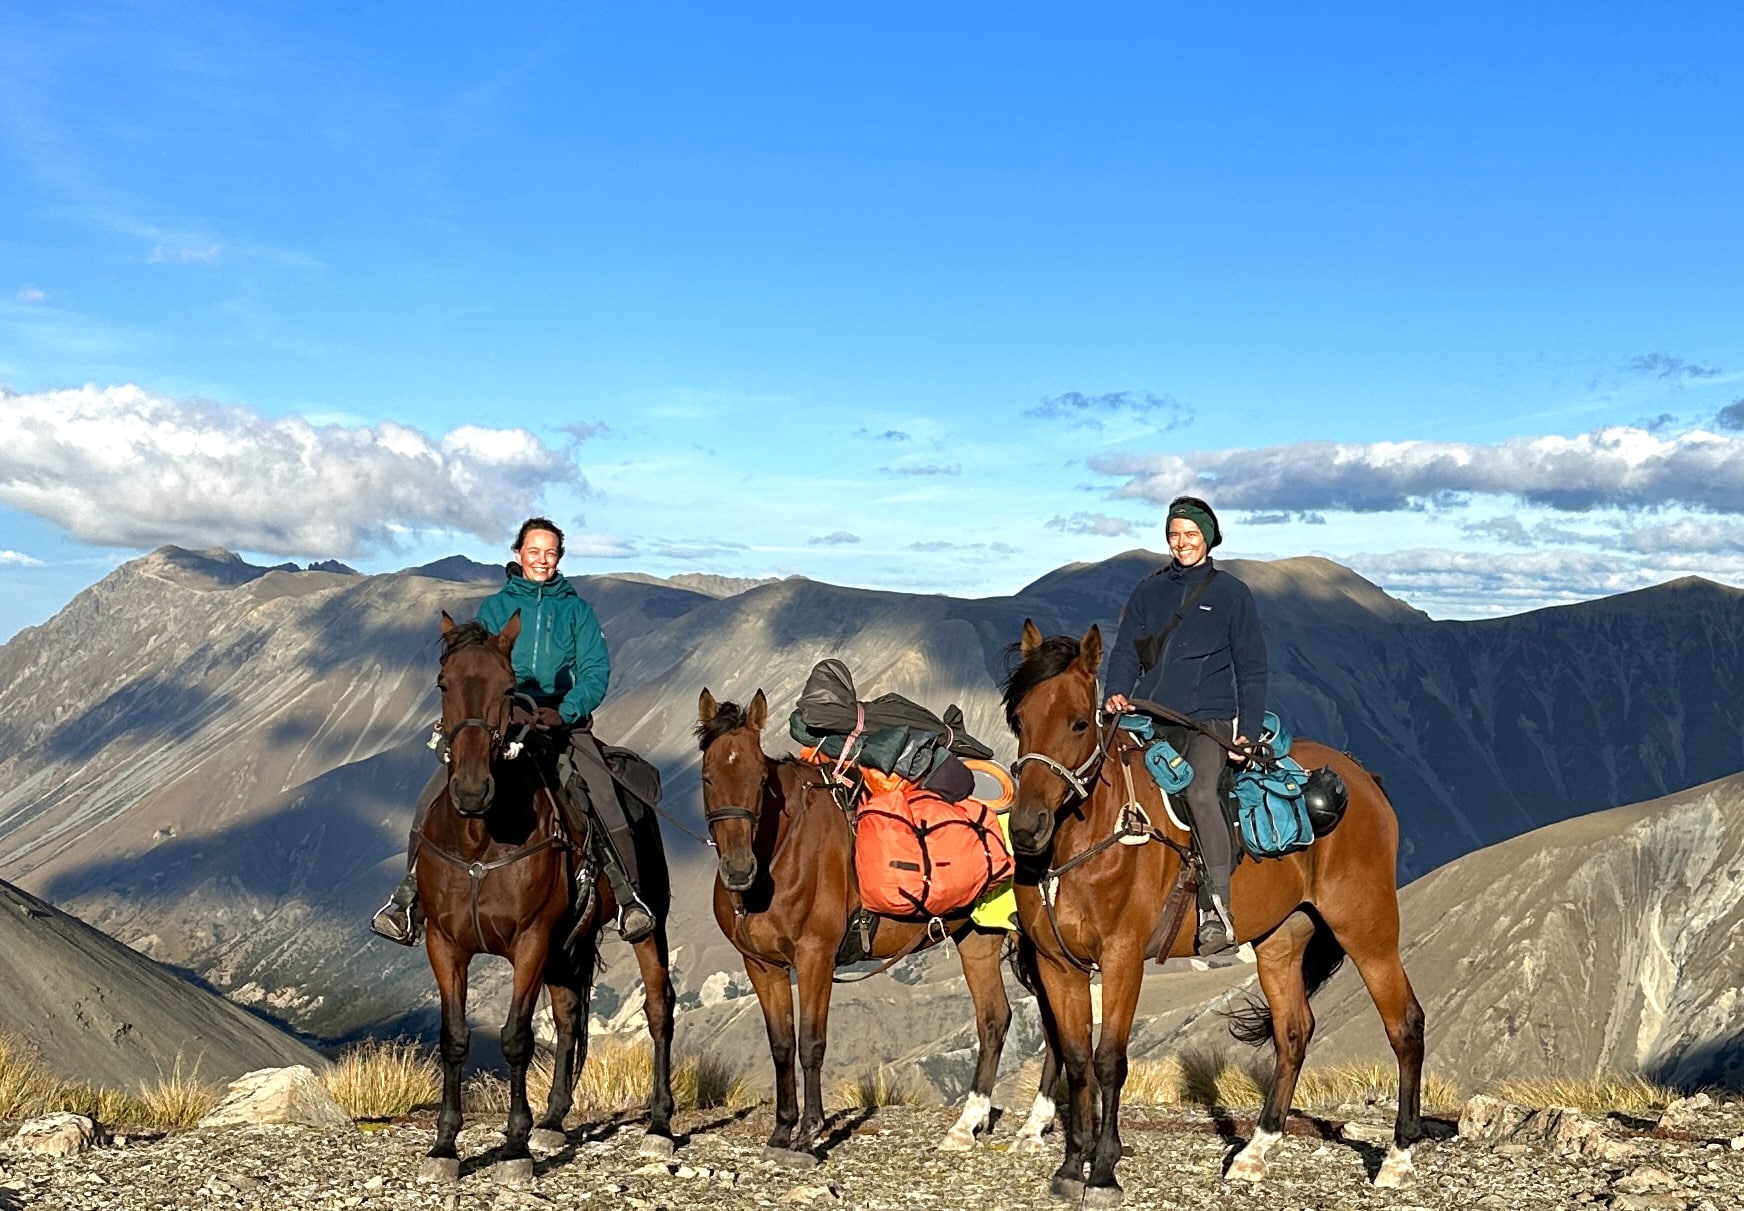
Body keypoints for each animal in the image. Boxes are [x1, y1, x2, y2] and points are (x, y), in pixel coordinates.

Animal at [411, 610, 676, 1193]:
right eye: (443, 684)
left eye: (509, 688)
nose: (471, 790)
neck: (482, 840)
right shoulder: (445, 945)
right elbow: (454, 1037)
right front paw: (444, 1146)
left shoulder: (530, 942)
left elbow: (515, 1038)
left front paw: (514, 1148)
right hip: (565, 947)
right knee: (570, 1015)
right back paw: (554, 1122)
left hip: (647, 927)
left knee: (658, 1009)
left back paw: (660, 1125)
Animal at [697, 697, 1060, 1172]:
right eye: (707, 776)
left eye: (760, 778)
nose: (739, 869)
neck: (784, 856)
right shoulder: (762, 966)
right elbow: (780, 1045)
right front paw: (780, 1132)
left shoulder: (815, 959)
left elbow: (810, 1044)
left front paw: (808, 1135)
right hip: (978, 939)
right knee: (994, 1020)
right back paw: (966, 1126)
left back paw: (1034, 1127)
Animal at [1004, 621, 1423, 1207]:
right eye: (1019, 719)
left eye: (1080, 722)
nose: (1028, 828)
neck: (1090, 841)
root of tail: (1362, 780)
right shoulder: (1057, 964)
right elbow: (1077, 1058)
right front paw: (1071, 1165)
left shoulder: (1122, 959)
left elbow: (1110, 1061)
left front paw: (1104, 1170)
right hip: (1280, 939)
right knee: (1294, 1032)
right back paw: (1256, 1150)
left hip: (1367, 928)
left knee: (1405, 1023)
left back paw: (1399, 1157)